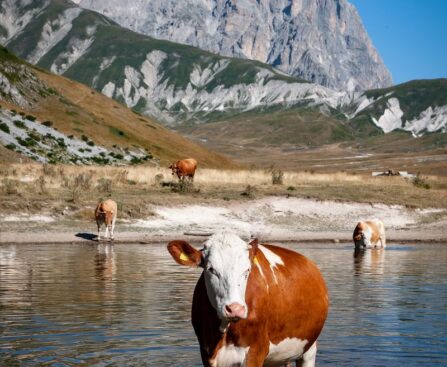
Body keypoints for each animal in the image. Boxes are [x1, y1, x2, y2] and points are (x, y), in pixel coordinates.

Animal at [168, 233, 328, 367]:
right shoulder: (207, 352)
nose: (235, 309)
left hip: (309, 348)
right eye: (211, 269)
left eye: (247, 270)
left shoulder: (255, 351)